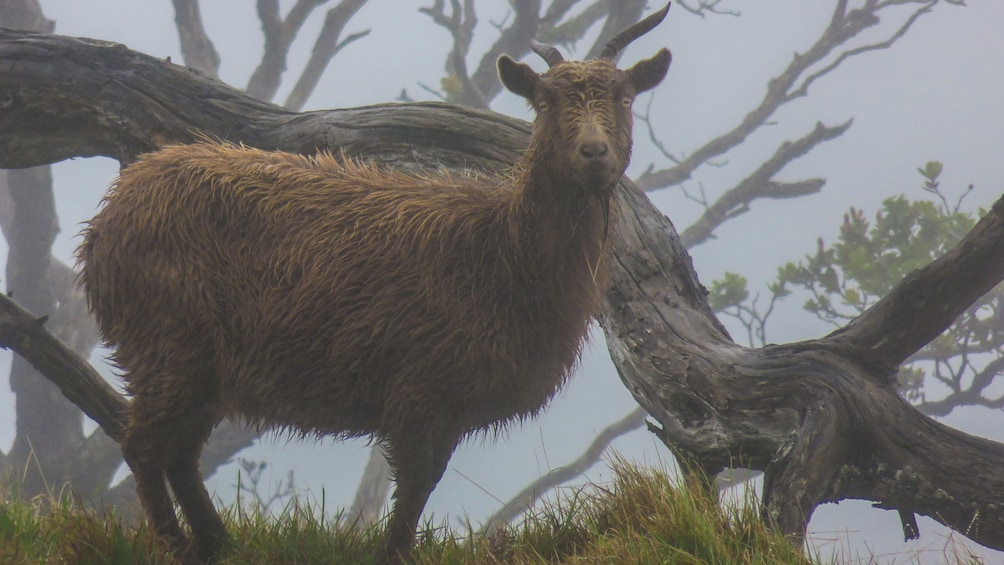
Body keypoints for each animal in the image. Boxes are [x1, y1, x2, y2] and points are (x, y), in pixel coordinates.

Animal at [76, 4, 671, 563]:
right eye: (543, 103)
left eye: (624, 97)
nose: (593, 153)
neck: (500, 253)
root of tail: (103, 223)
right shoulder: (419, 384)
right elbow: (413, 487)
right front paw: (393, 552)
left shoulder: (447, 402)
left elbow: (423, 483)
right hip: (166, 340)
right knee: (144, 445)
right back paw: (178, 546)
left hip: (200, 366)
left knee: (180, 450)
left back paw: (216, 543)